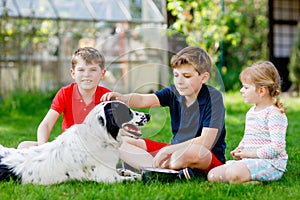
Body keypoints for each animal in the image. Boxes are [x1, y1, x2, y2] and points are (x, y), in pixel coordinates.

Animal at [0, 101, 150, 185]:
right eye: (128, 112)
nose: (148, 116)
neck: (97, 136)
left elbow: (127, 172)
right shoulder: (107, 178)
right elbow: (133, 179)